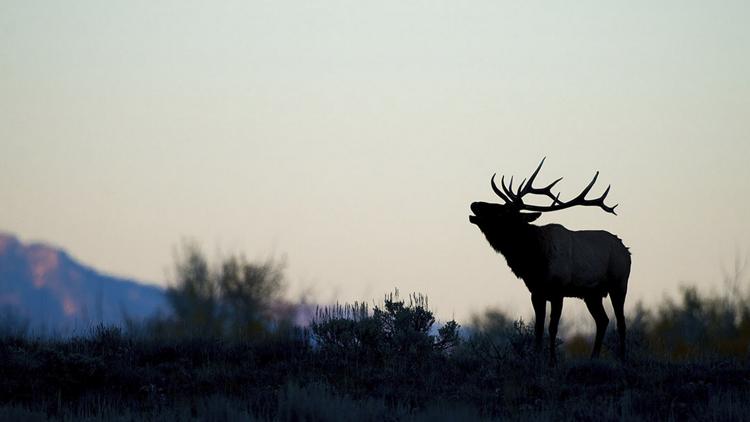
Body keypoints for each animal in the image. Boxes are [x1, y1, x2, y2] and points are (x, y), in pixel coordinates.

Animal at [472, 158, 632, 362]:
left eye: (503, 211)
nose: (474, 204)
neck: (534, 260)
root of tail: (627, 251)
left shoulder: (558, 291)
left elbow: (552, 328)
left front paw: (552, 361)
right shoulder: (536, 292)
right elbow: (538, 329)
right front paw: (536, 357)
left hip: (619, 283)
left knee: (621, 322)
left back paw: (622, 359)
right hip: (592, 294)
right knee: (603, 320)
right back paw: (593, 358)